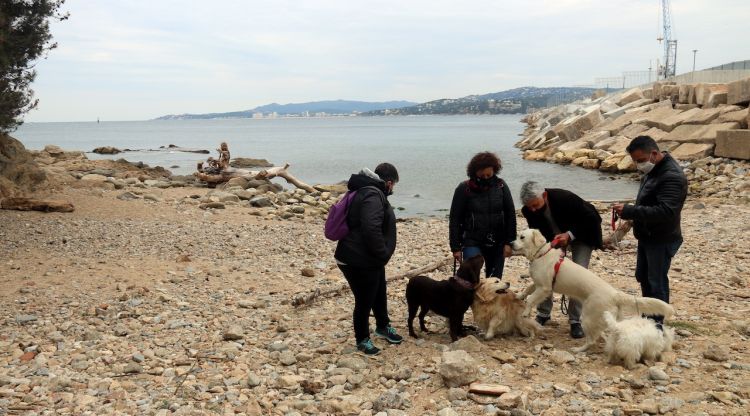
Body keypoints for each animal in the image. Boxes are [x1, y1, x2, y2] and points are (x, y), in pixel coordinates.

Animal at [516, 229, 680, 352]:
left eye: (522, 237)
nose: (511, 243)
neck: (540, 254)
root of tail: (615, 294)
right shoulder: (538, 284)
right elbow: (528, 289)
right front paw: (519, 295)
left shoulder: (544, 288)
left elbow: (531, 299)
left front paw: (525, 312)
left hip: (588, 317)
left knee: (591, 340)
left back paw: (578, 350)